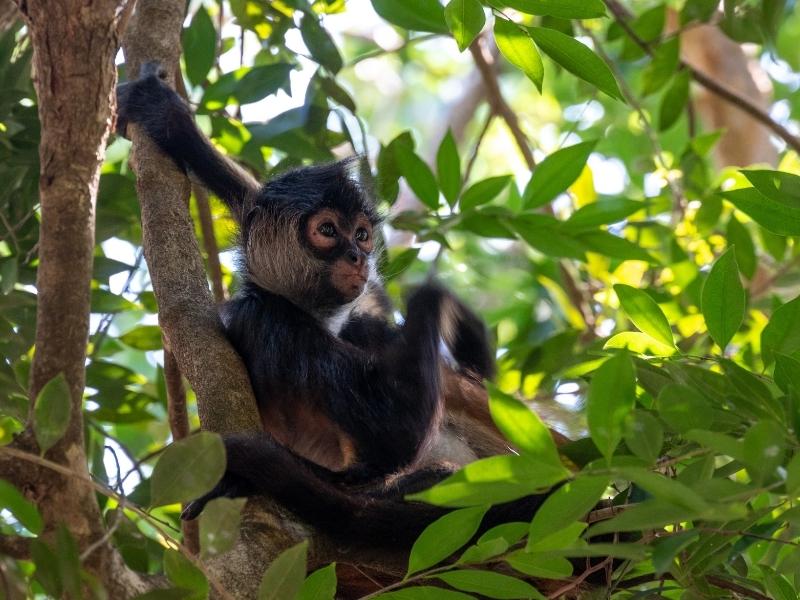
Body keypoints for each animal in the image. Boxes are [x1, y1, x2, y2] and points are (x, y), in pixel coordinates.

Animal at [115, 63, 549, 547]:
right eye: (327, 231)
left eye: (361, 234)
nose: (358, 257)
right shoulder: (268, 319)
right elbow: (391, 439)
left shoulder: (350, 324)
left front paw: (167, 118)